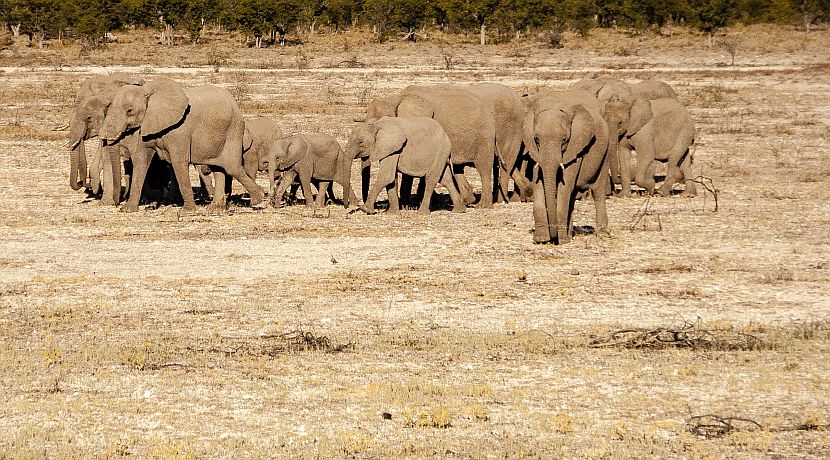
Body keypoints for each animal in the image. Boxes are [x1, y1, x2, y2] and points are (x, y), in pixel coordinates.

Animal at [99, 78, 263, 212]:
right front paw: (128, 210)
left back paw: (258, 200)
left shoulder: (180, 130)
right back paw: (216, 208)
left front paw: (187, 211)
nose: (116, 204)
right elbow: (141, 161)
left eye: (130, 111)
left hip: (233, 130)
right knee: (219, 169)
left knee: (232, 167)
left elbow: (178, 162)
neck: (148, 90)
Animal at [523, 90, 611, 244]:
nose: (553, 239)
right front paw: (541, 239)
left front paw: (560, 240)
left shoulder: (576, 146)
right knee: (573, 194)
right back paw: (569, 235)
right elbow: (539, 183)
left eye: (564, 140)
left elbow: (565, 187)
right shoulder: (534, 152)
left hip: (605, 151)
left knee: (598, 192)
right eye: (537, 139)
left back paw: (602, 235)